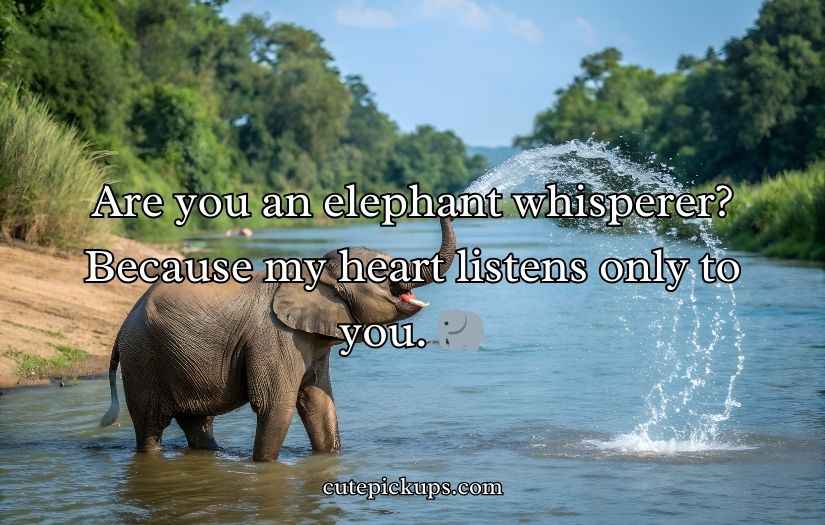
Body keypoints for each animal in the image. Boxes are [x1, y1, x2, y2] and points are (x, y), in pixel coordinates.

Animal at [100, 217, 456, 461]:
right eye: (381, 271)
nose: (442, 203)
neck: (316, 269)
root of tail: (123, 325)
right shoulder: (276, 337)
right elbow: (276, 406)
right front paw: (264, 468)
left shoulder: (310, 342)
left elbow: (320, 404)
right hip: (144, 357)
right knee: (150, 426)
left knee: (197, 423)